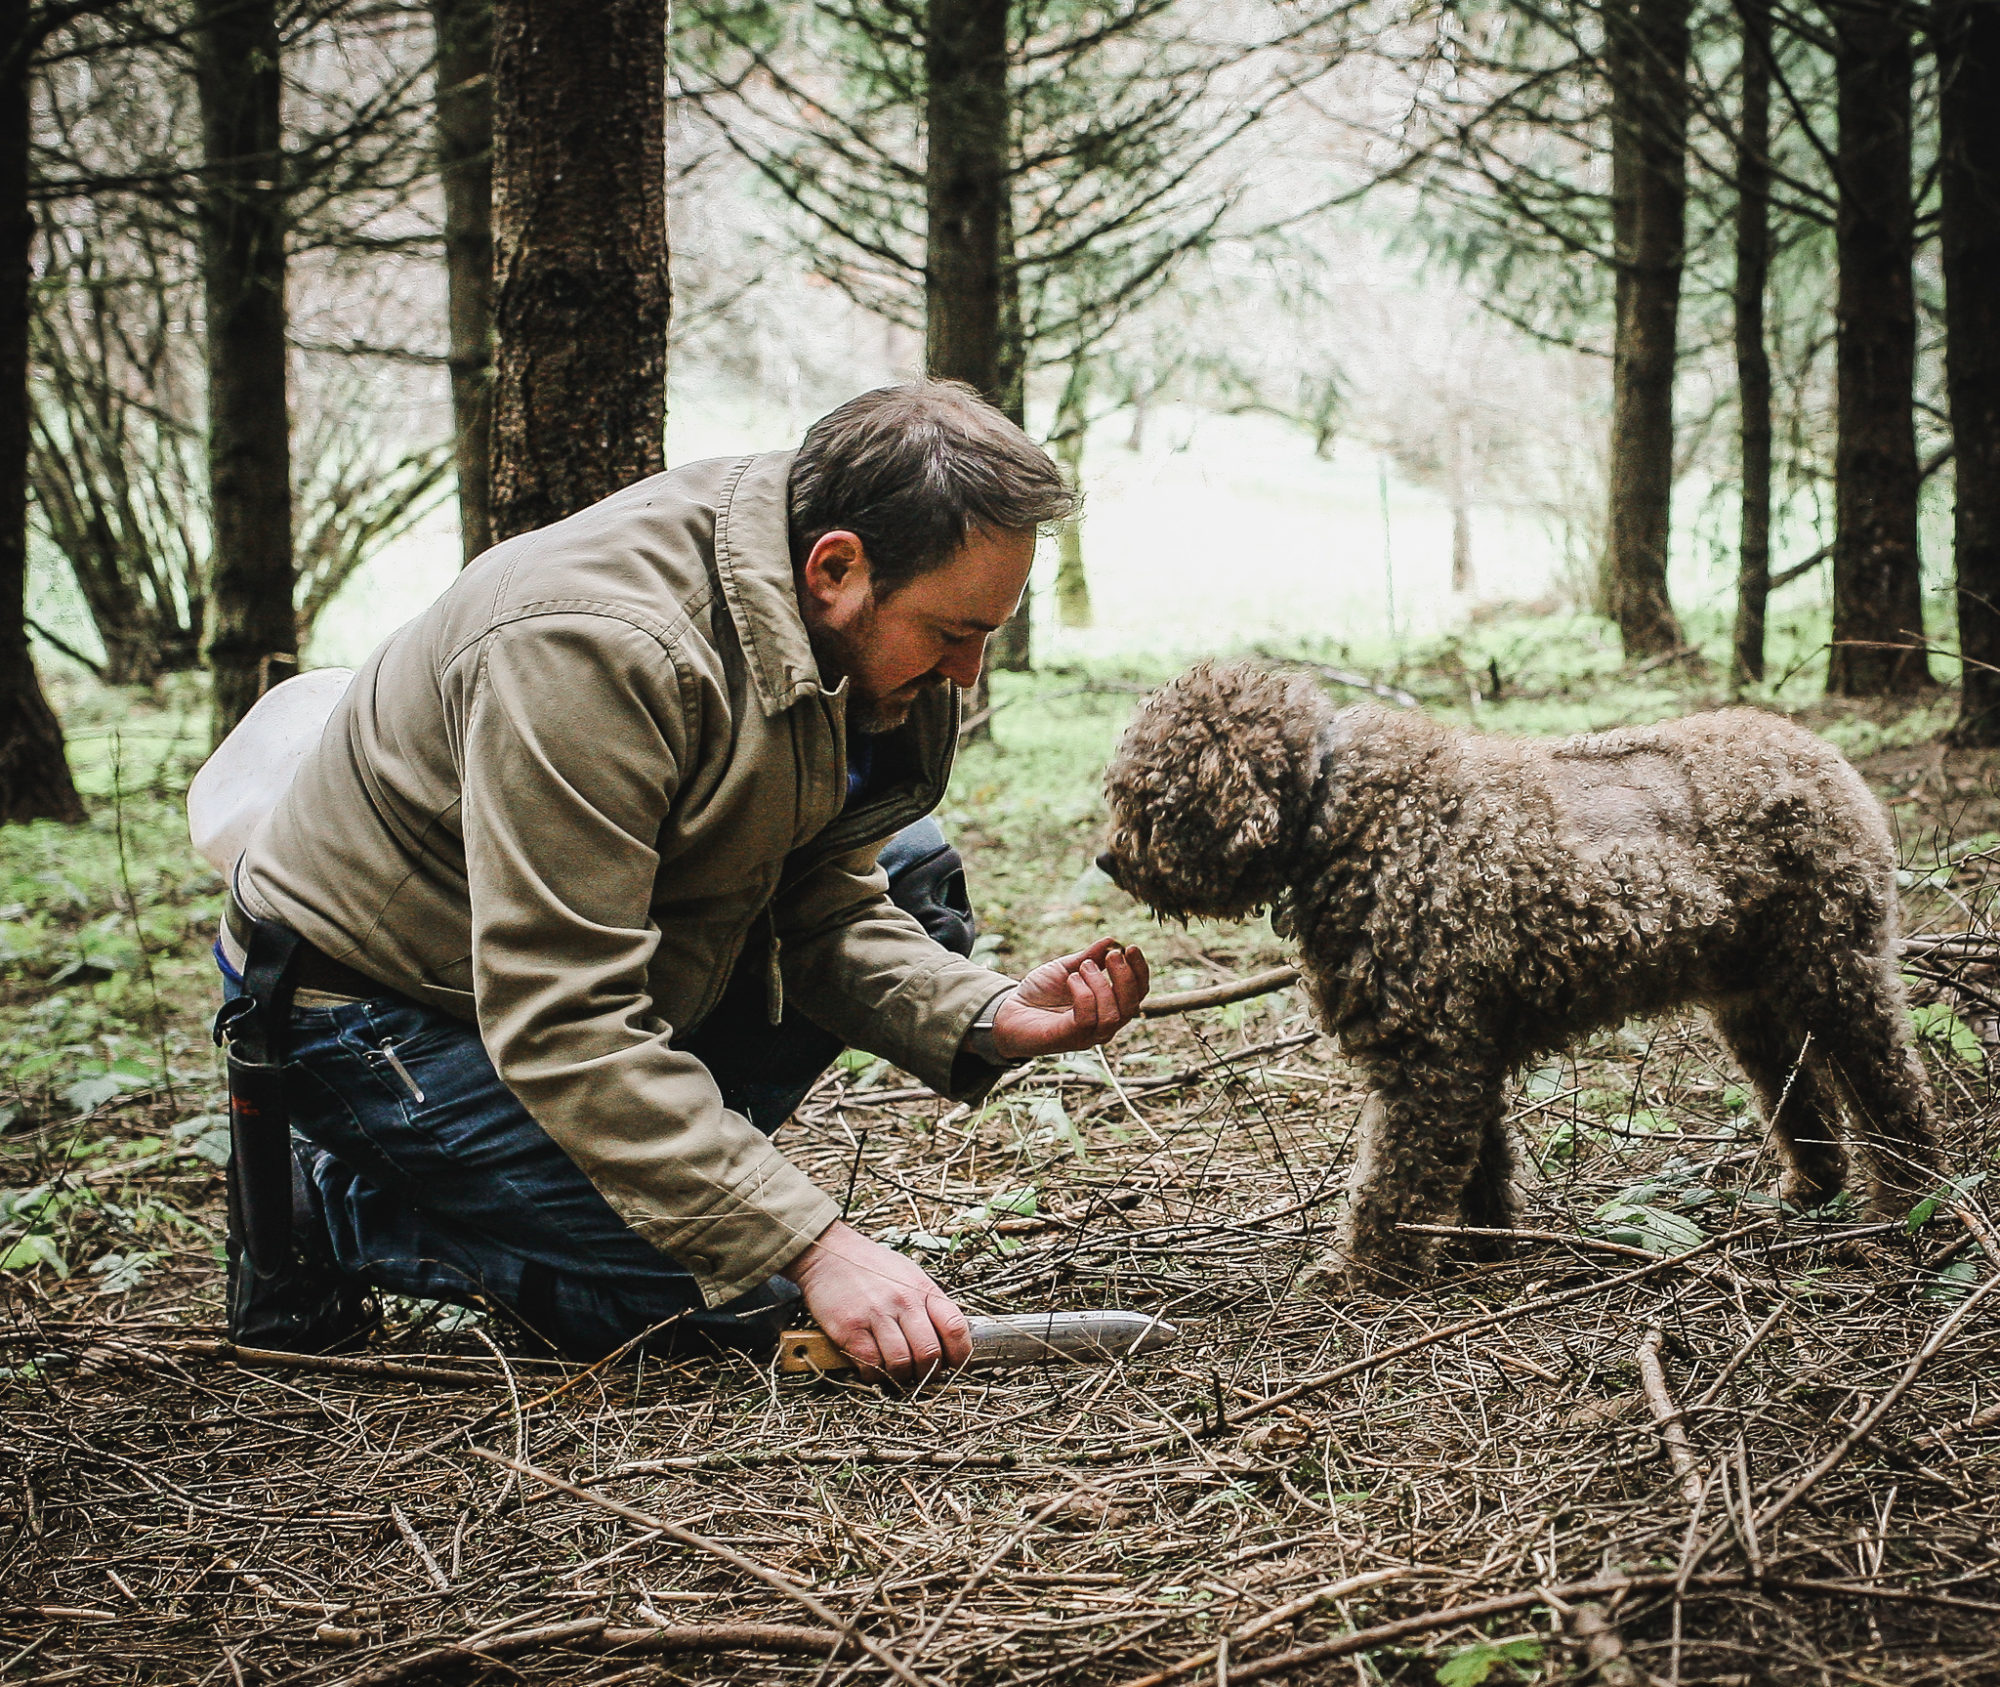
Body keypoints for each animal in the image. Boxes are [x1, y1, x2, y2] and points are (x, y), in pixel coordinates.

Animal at [1104, 663, 1944, 1295]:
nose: (1108, 859)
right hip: (1754, 1001)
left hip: (1837, 972)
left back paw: (1914, 1198)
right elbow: (1477, 1162)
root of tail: (1830, 758)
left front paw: (1363, 1274)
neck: (1338, 809)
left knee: (1892, 1086)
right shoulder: (1463, 1048)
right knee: (1803, 1098)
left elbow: (1395, 1182)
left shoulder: (1428, 1057)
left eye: (1149, 800)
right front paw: (1481, 1247)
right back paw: (1812, 1190)